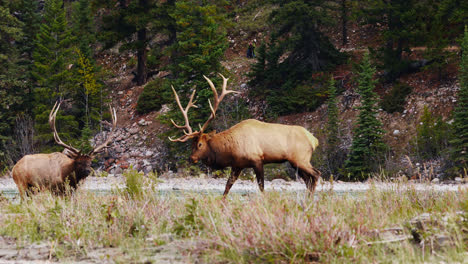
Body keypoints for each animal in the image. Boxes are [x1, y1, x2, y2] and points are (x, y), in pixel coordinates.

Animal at [170, 73, 320, 197]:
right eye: (192, 144)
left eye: (200, 144)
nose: (191, 158)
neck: (230, 150)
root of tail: (314, 139)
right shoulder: (237, 165)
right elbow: (227, 186)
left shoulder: (257, 159)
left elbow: (261, 186)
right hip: (296, 162)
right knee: (308, 180)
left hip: (300, 158)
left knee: (316, 175)